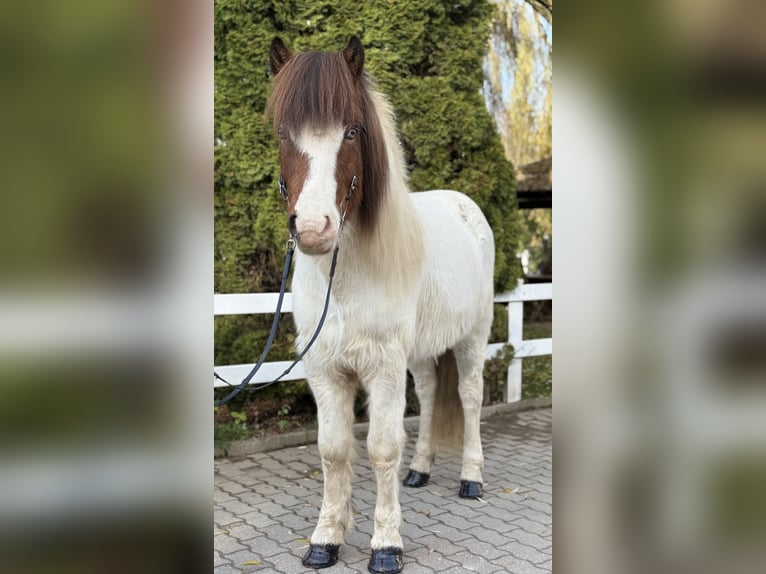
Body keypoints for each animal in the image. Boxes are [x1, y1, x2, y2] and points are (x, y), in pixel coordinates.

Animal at [266, 36, 495, 574]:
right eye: (284, 132)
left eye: (352, 131)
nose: (314, 229)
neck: (345, 280)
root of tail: (465, 205)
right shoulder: (326, 369)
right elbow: (333, 450)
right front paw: (325, 539)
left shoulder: (383, 368)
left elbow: (382, 448)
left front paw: (386, 545)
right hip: (422, 355)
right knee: (431, 396)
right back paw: (421, 471)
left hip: (472, 339)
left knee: (470, 398)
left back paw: (470, 479)